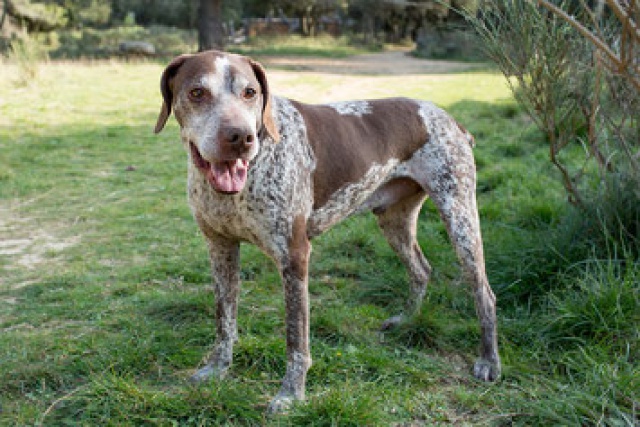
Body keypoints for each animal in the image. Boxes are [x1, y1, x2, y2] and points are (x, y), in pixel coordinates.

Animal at [154, 50, 500, 414]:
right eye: (197, 93)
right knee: (421, 269)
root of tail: (451, 120)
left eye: (250, 92)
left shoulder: (294, 256)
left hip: (459, 217)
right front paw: (217, 369)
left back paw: (489, 361)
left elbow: (296, 339)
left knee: (484, 293)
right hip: (394, 220)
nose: (240, 138)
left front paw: (291, 394)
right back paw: (406, 320)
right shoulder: (220, 247)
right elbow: (224, 320)